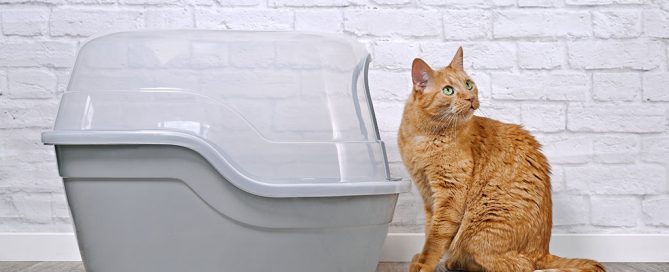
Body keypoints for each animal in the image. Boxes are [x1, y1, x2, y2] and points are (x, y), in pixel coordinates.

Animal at [396, 47, 604, 272]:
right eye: (448, 90)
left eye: (468, 84)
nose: (470, 98)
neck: (425, 135)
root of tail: (543, 251)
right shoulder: (427, 194)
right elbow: (429, 230)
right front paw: (421, 259)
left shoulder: (450, 194)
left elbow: (436, 237)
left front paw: (423, 265)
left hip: (480, 231)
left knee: (517, 265)